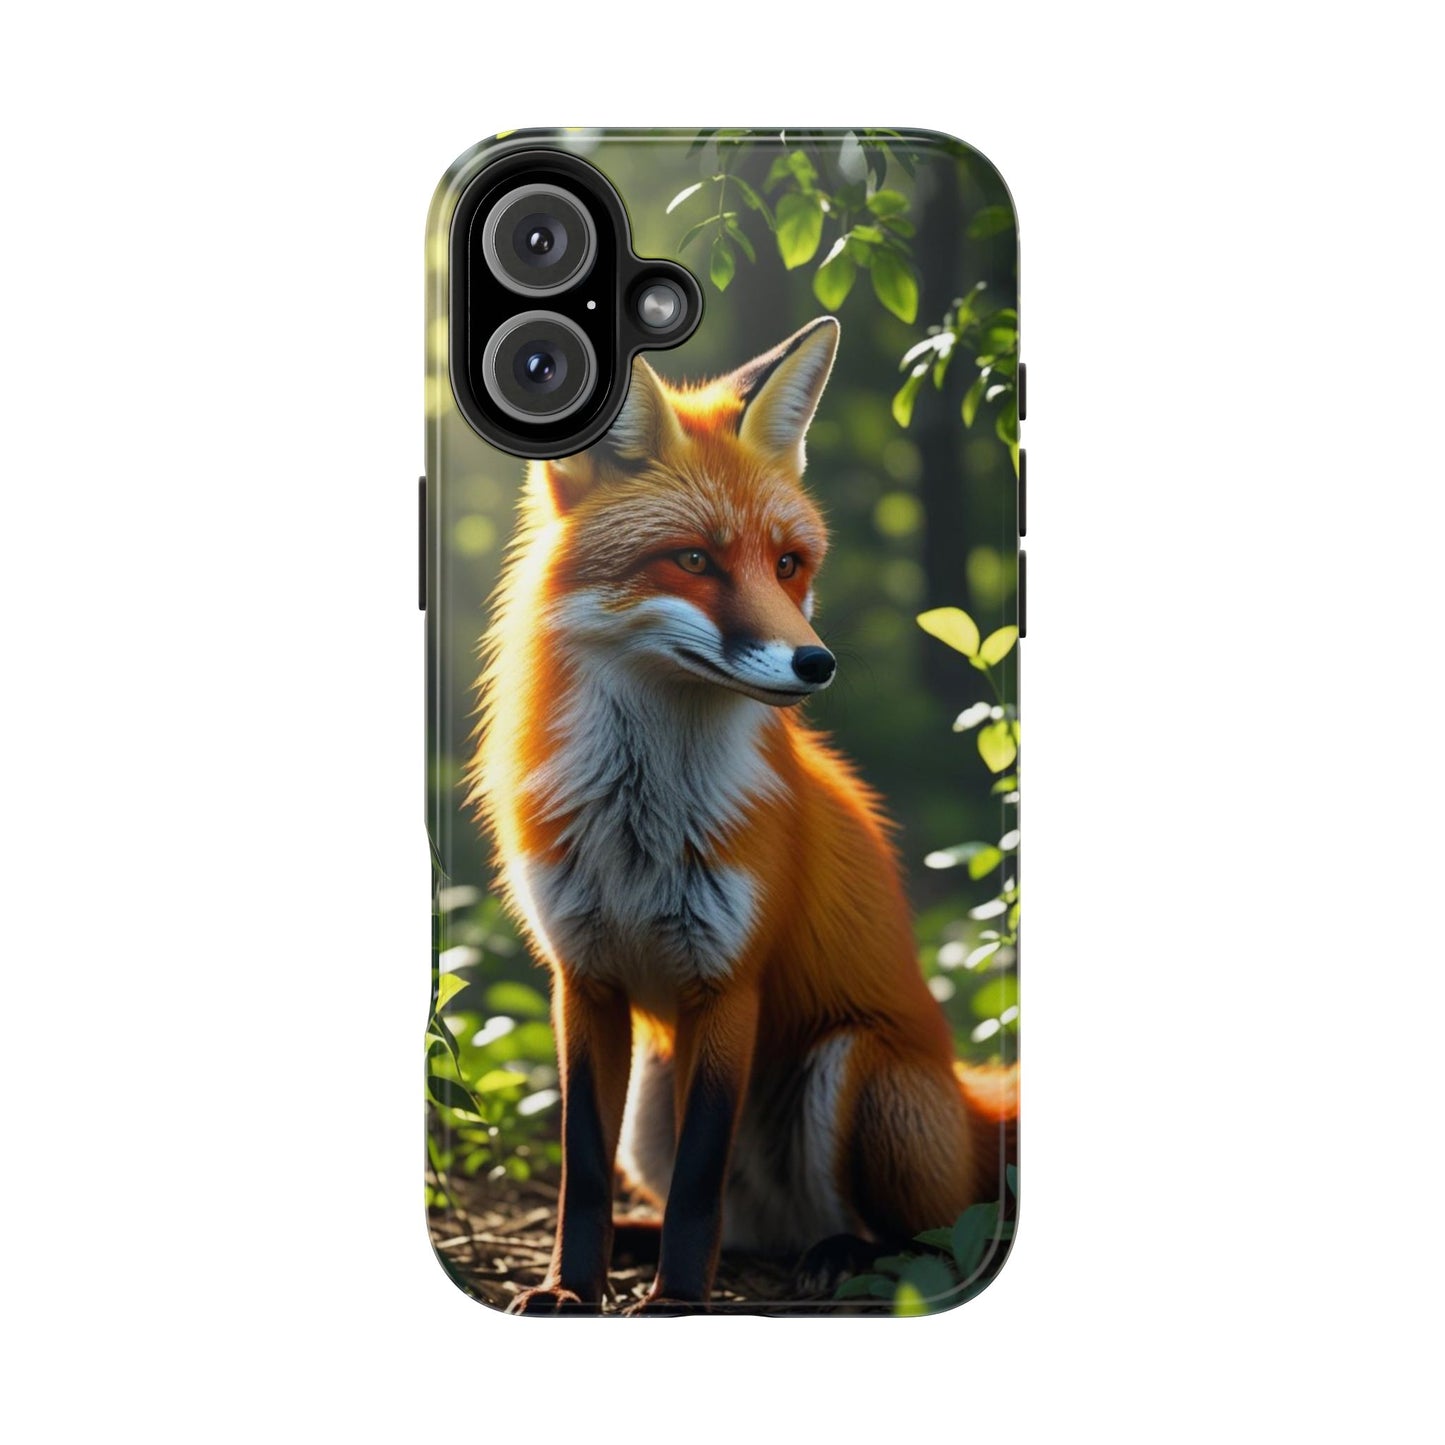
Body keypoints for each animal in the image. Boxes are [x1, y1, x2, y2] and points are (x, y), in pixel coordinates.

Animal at [468, 316, 1018, 1314]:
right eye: (693, 559)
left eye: (788, 564)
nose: (816, 663)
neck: (638, 825)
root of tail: (970, 1097)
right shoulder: (583, 979)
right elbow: (583, 1168)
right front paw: (570, 1286)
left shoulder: (728, 982)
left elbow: (698, 1180)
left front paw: (677, 1302)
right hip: (653, 1098)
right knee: (743, 1223)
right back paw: (652, 1241)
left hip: (853, 1072)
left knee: (921, 1238)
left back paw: (838, 1255)